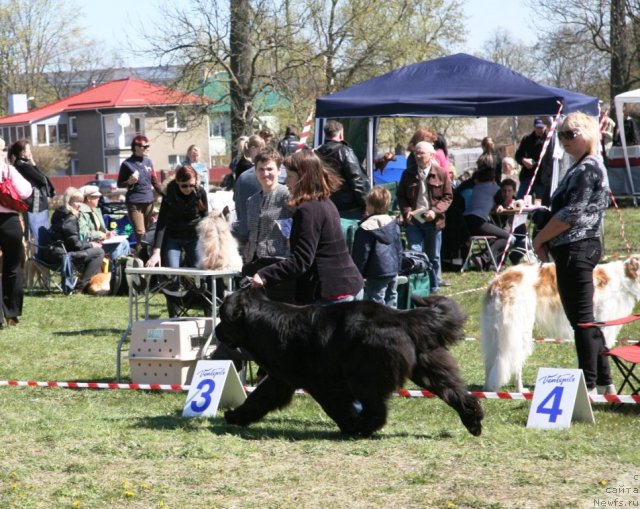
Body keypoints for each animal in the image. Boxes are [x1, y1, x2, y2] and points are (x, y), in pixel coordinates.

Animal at [215, 288, 484, 434]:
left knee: (377, 409)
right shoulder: (280, 380)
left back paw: (362, 427)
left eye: (223, 318)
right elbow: (258, 399)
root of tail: (400, 316)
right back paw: (473, 420)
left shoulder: (320, 384)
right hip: (428, 366)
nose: (216, 330)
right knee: (454, 391)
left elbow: (337, 407)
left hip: (362, 374)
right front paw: (236, 416)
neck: (261, 322)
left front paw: (349, 423)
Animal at [480, 256, 640, 390]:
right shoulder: (602, 329)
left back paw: (488, 389)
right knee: (515, 362)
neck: (624, 279)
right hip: (518, 330)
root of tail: (499, 282)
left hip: (494, 332)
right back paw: (519, 390)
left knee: (489, 361)